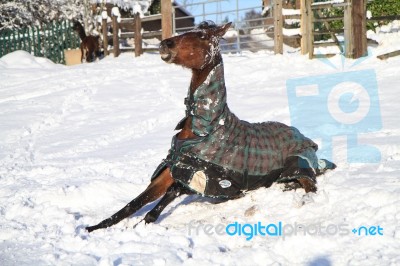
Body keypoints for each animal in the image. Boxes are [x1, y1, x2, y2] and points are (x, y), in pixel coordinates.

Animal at [86, 20, 336, 233]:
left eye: (202, 35)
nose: (165, 44)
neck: (205, 131)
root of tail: (305, 139)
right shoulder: (169, 172)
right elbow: (131, 204)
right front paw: (93, 228)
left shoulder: (203, 177)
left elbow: (164, 198)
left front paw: (142, 224)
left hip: (298, 166)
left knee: (310, 185)